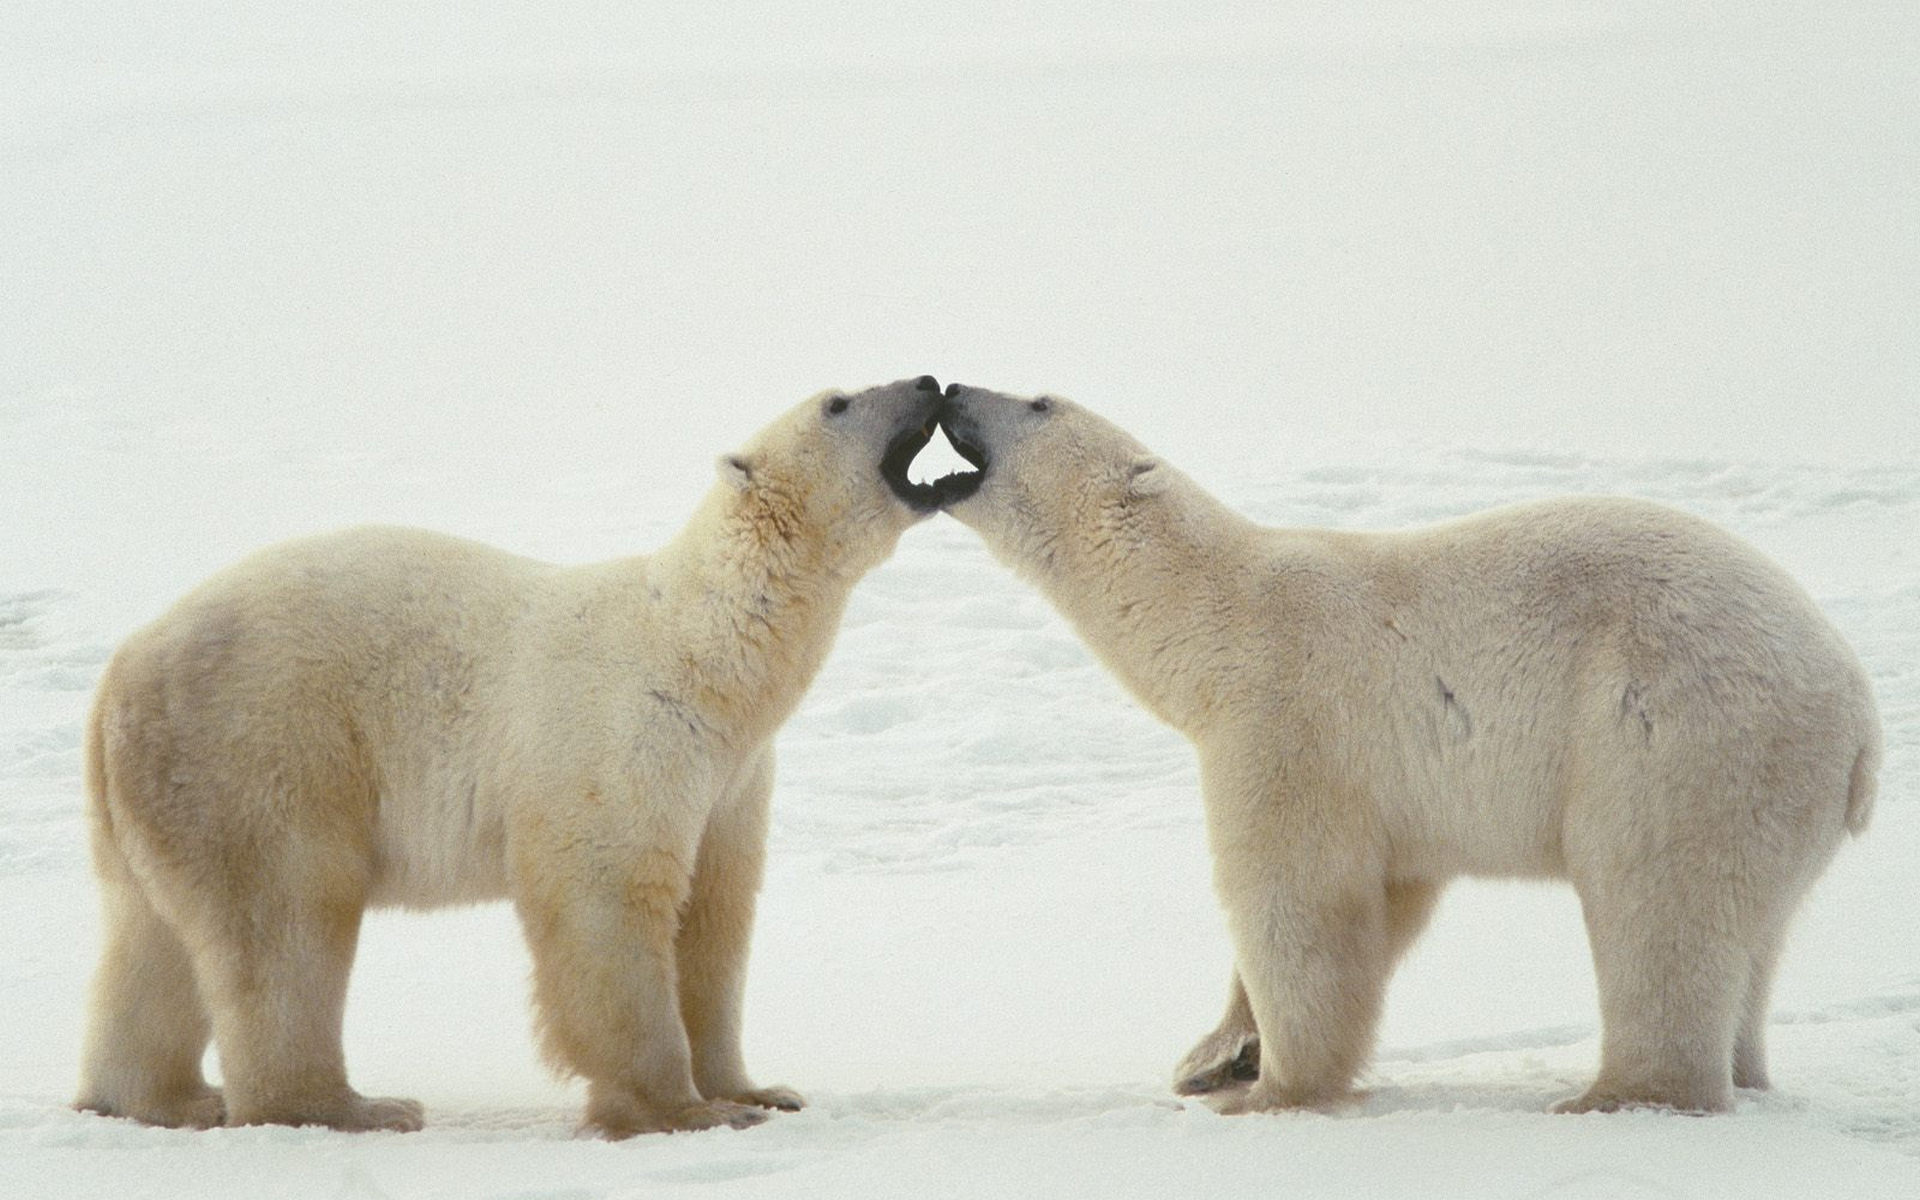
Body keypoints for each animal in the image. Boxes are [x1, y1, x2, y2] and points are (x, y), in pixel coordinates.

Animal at [78, 372, 975, 1128]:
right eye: (838, 402)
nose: (929, 380)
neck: (706, 653)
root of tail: (118, 675)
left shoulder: (732, 777)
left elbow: (715, 916)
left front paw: (758, 1089)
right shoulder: (622, 735)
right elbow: (609, 901)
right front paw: (681, 1110)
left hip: (165, 791)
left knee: (151, 942)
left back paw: (161, 1098)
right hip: (262, 750)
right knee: (286, 922)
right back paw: (348, 1106)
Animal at [936, 384, 1881, 1113]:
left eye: (1038, 400)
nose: (949, 389)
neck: (1216, 617)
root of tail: (1860, 714)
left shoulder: (1289, 723)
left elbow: (1299, 904)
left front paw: (1272, 1089)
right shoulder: (1391, 790)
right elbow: (1387, 899)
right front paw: (1214, 1055)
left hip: (1678, 736)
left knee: (1658, 906)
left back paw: (1617, 1094)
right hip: (1771, 789)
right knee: (1755, 934)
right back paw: (1743, 1072)